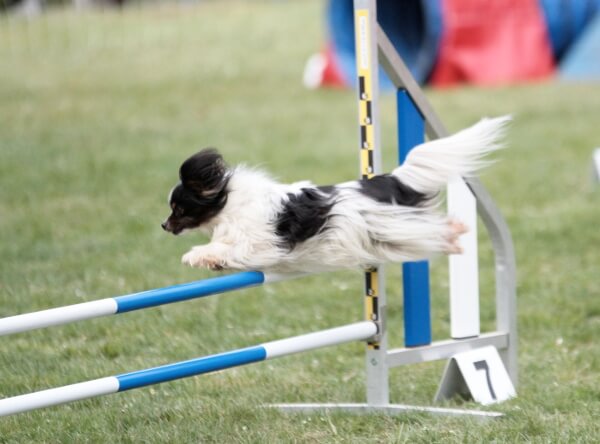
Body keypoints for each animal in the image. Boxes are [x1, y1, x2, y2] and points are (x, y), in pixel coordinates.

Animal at [162, 116, 508, 272]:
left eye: (178, 208)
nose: (164, 226)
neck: (229, 202)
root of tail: (388, 180)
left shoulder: (261, 243)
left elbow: (232, 248)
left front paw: (197, 256)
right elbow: (222, 246)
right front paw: (209, 259)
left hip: (390, 227)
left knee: (434, 229)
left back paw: (455, 233)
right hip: (387, 237)